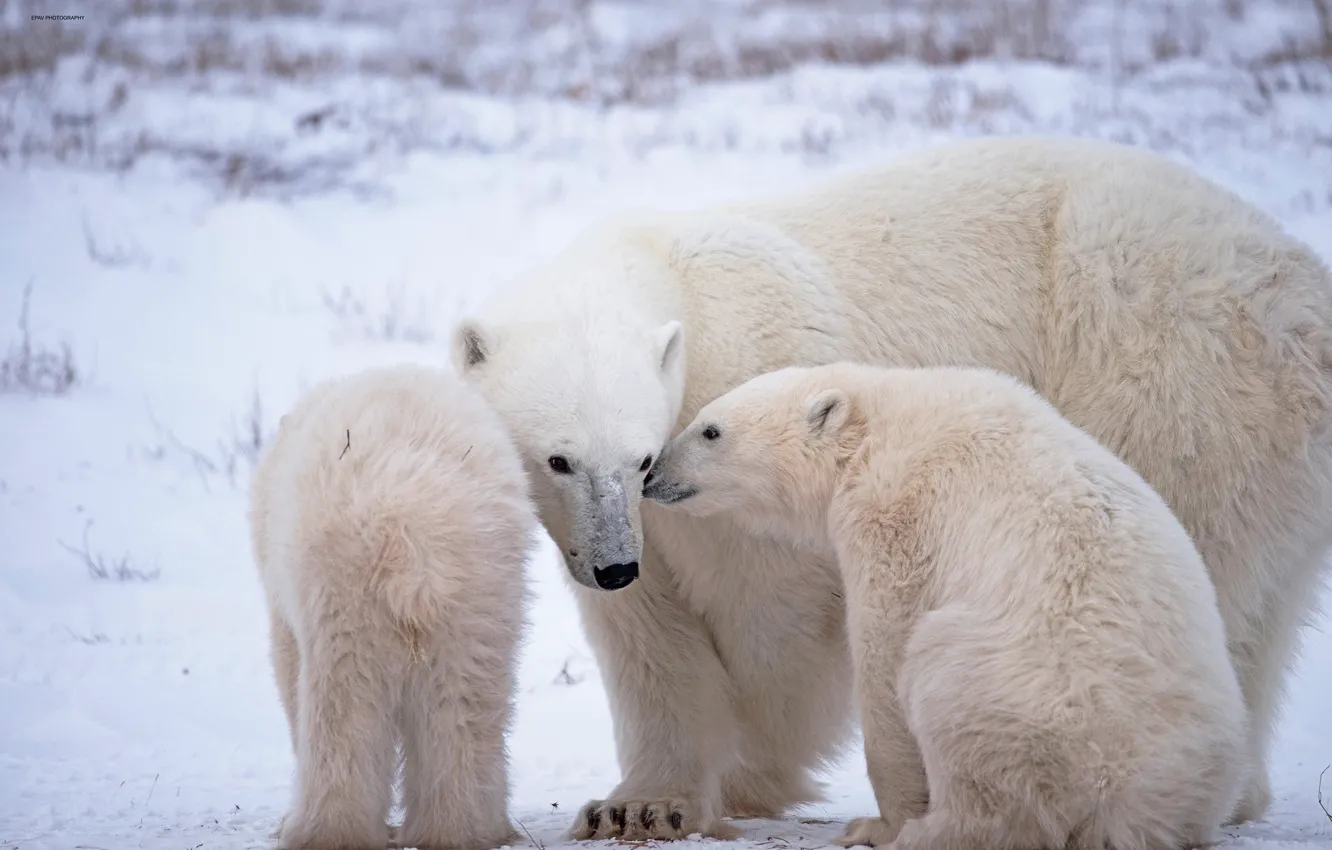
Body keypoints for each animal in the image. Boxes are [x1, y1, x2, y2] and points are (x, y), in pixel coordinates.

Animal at [247, 367, 538, 850]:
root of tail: (409, 531)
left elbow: (288, 667)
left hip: (345, 590)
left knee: (341, 704)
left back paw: (324, 832)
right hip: (480, 588)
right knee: (464, 704)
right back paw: (462, 830)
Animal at [642, 362, 1246, 850]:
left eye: (710, 429)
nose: (652, 473)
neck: (879, 417)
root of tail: (1120, 797)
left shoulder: (895, 511)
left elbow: (885, 653)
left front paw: (879, 823)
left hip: (1016, 689)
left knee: (959, 715)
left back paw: (926, 831)